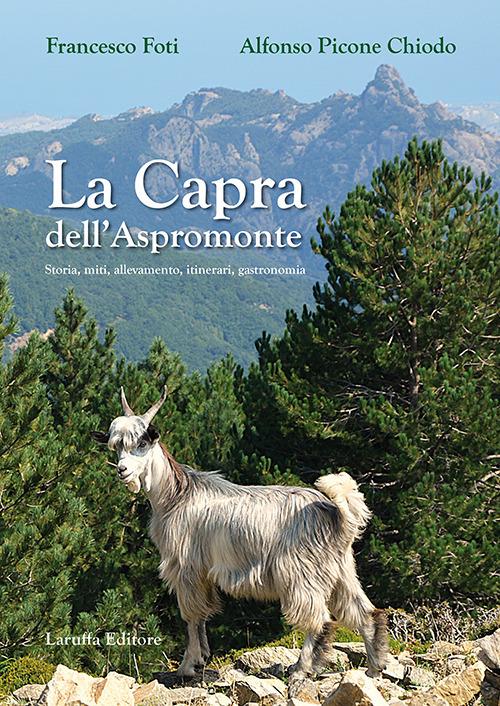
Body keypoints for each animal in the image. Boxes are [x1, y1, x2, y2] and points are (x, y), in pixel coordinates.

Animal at [92, 388, 388, 679]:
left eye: (141, 443)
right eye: (117, 446)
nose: (122, 470)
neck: (175, 496)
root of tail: (336, 513)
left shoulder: (186, 567)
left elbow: (191, 615)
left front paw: (188, 666)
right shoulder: (203, 573)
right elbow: (203, 614)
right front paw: (202, 658)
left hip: (301, 572)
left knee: (319, 620)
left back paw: (302, 668)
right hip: (342, 571)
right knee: (366, 613)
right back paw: (375, 668)